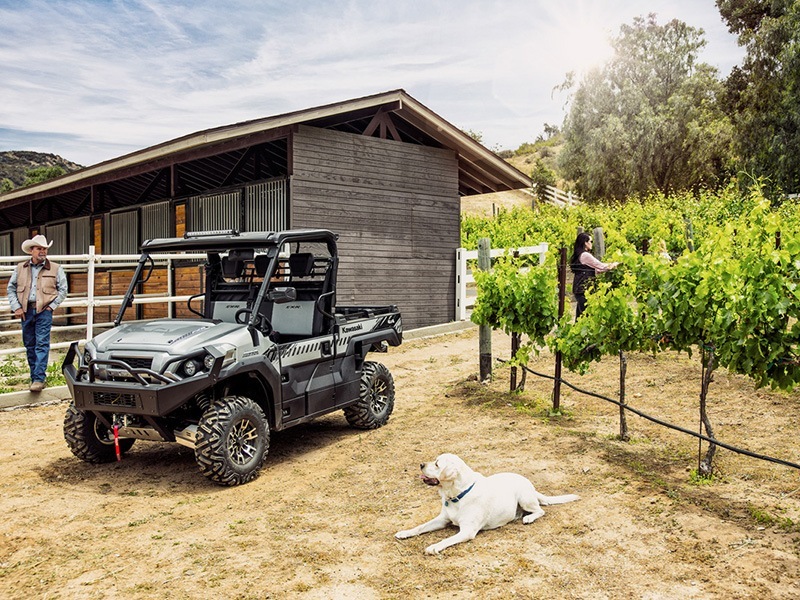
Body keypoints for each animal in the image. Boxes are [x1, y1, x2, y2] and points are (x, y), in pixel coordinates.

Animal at [396, 452, 580, 556]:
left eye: (436, 464)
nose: (421, 464)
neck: (458, 495)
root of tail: (531, 486)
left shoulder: (467, 531)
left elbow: (447, 539)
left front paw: (434, 546)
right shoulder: (442, 519)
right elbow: (420, 527)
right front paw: (405, 532)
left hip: (525, 498)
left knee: (540, 510)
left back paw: (528, 518)